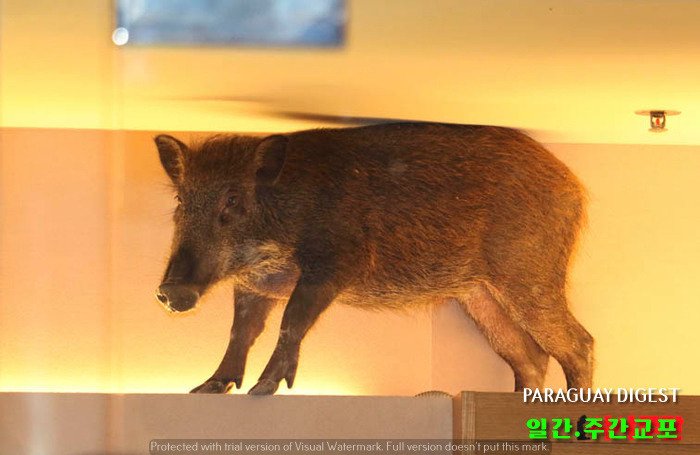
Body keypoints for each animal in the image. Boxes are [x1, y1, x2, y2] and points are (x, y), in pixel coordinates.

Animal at [154, 122, 593, 395]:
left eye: (232, 200)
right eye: (180, 201)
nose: (168, 291)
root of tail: (575, 186)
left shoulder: (336, 263)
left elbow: (291, 321)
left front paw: (263, 390)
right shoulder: (256, 286)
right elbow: (240, 333)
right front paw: (205, 389)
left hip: (529, 274)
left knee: (579, 343)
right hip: (479, 296)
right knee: (530, 356)